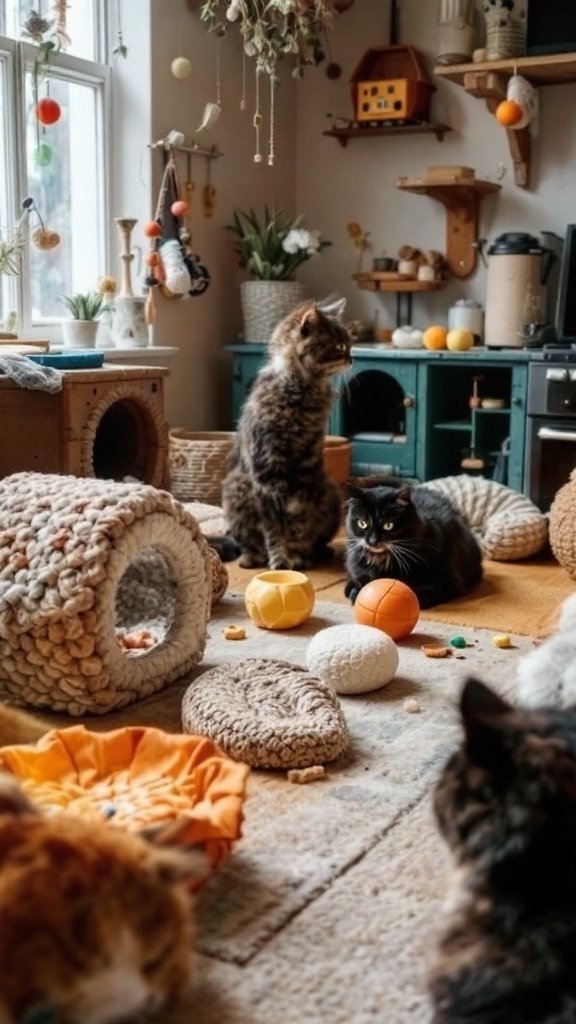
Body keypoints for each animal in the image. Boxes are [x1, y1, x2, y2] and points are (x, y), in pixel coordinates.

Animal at [342, 481, 481, 606]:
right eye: (362, 523)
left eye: (388, 525)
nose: (372, 541)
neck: (383, 560)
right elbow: (361, 579)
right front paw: (356, 590)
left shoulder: (449, 583)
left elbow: (419, 593)